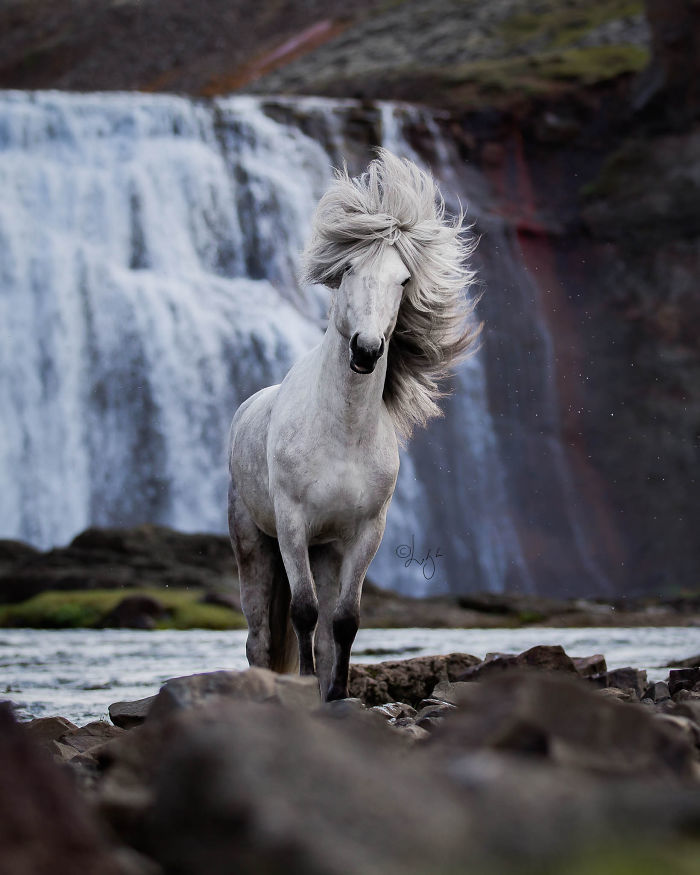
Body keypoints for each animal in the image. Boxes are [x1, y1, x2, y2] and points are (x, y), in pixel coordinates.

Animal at [227, 147, 478, 700]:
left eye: (402, 280)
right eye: (346, 271)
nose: (365, 350)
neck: (341, 433)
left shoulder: (364, 534)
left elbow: (342, 622)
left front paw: (337, 697)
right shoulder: (293, 525)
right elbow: (302, 612)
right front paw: (306, 692)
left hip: (325, 551)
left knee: (320, 633)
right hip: (255, 545)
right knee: (259, 638)